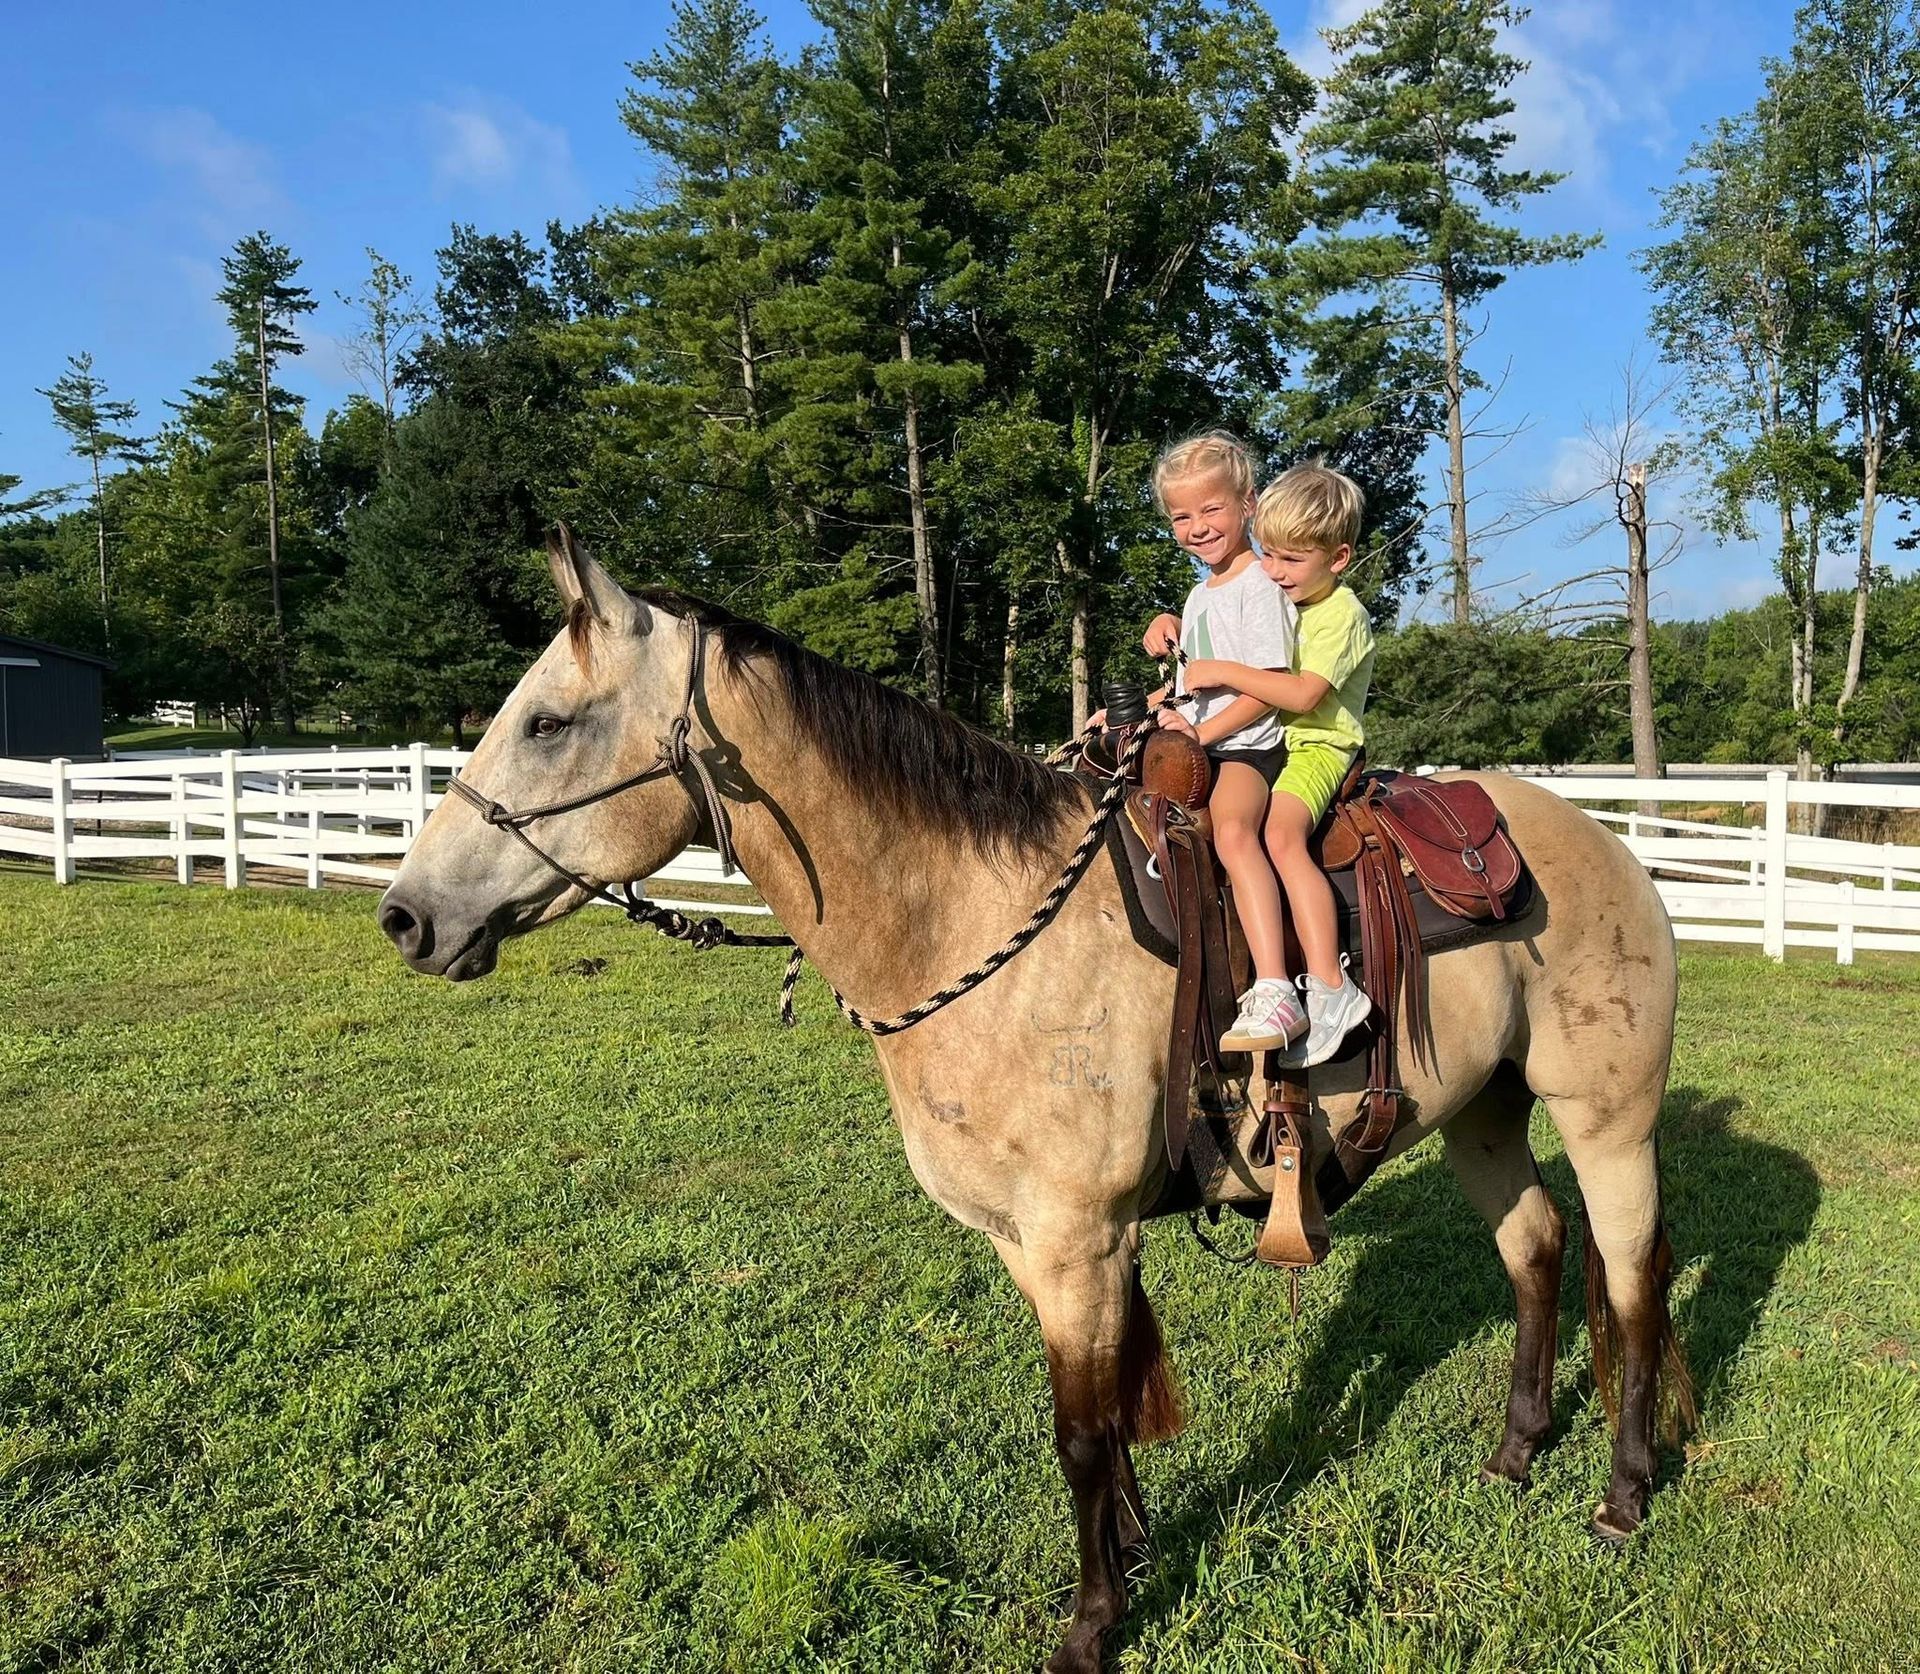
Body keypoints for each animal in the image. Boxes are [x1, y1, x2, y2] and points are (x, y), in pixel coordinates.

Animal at [379, 533, 1692, 1674]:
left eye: (549, 722)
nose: (406, 917)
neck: (978, 921)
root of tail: (1606, 842)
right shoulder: (1030, 1242)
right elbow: (1104, 1411)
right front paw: (1136, 1556)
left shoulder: (1078, 1238)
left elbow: (1081, 1431)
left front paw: (1090, 1629)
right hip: (1482, 1111)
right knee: (1535, 1248)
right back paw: (1515, 1452)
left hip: (1605, 1119)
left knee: (1631, 1279)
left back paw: (1624, 1495)